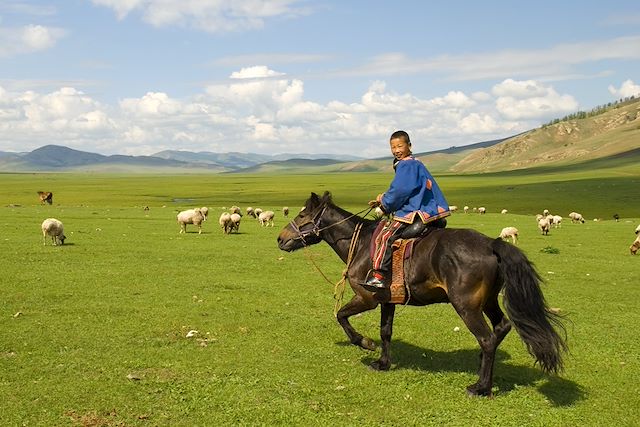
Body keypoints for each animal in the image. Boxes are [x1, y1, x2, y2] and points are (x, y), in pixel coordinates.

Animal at [278, 192, 568, 396]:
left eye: (302, 216)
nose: (280, 239)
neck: (360, 244)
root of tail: (491, 243)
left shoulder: (367, 298)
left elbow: (341, 316)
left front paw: (365, 343)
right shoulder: (387, 300)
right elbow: (386, 331)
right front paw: (383, 362)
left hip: (466, 306)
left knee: (487, 338)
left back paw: (481, 387)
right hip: (487, 301)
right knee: (502, 327)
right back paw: (481, 369)